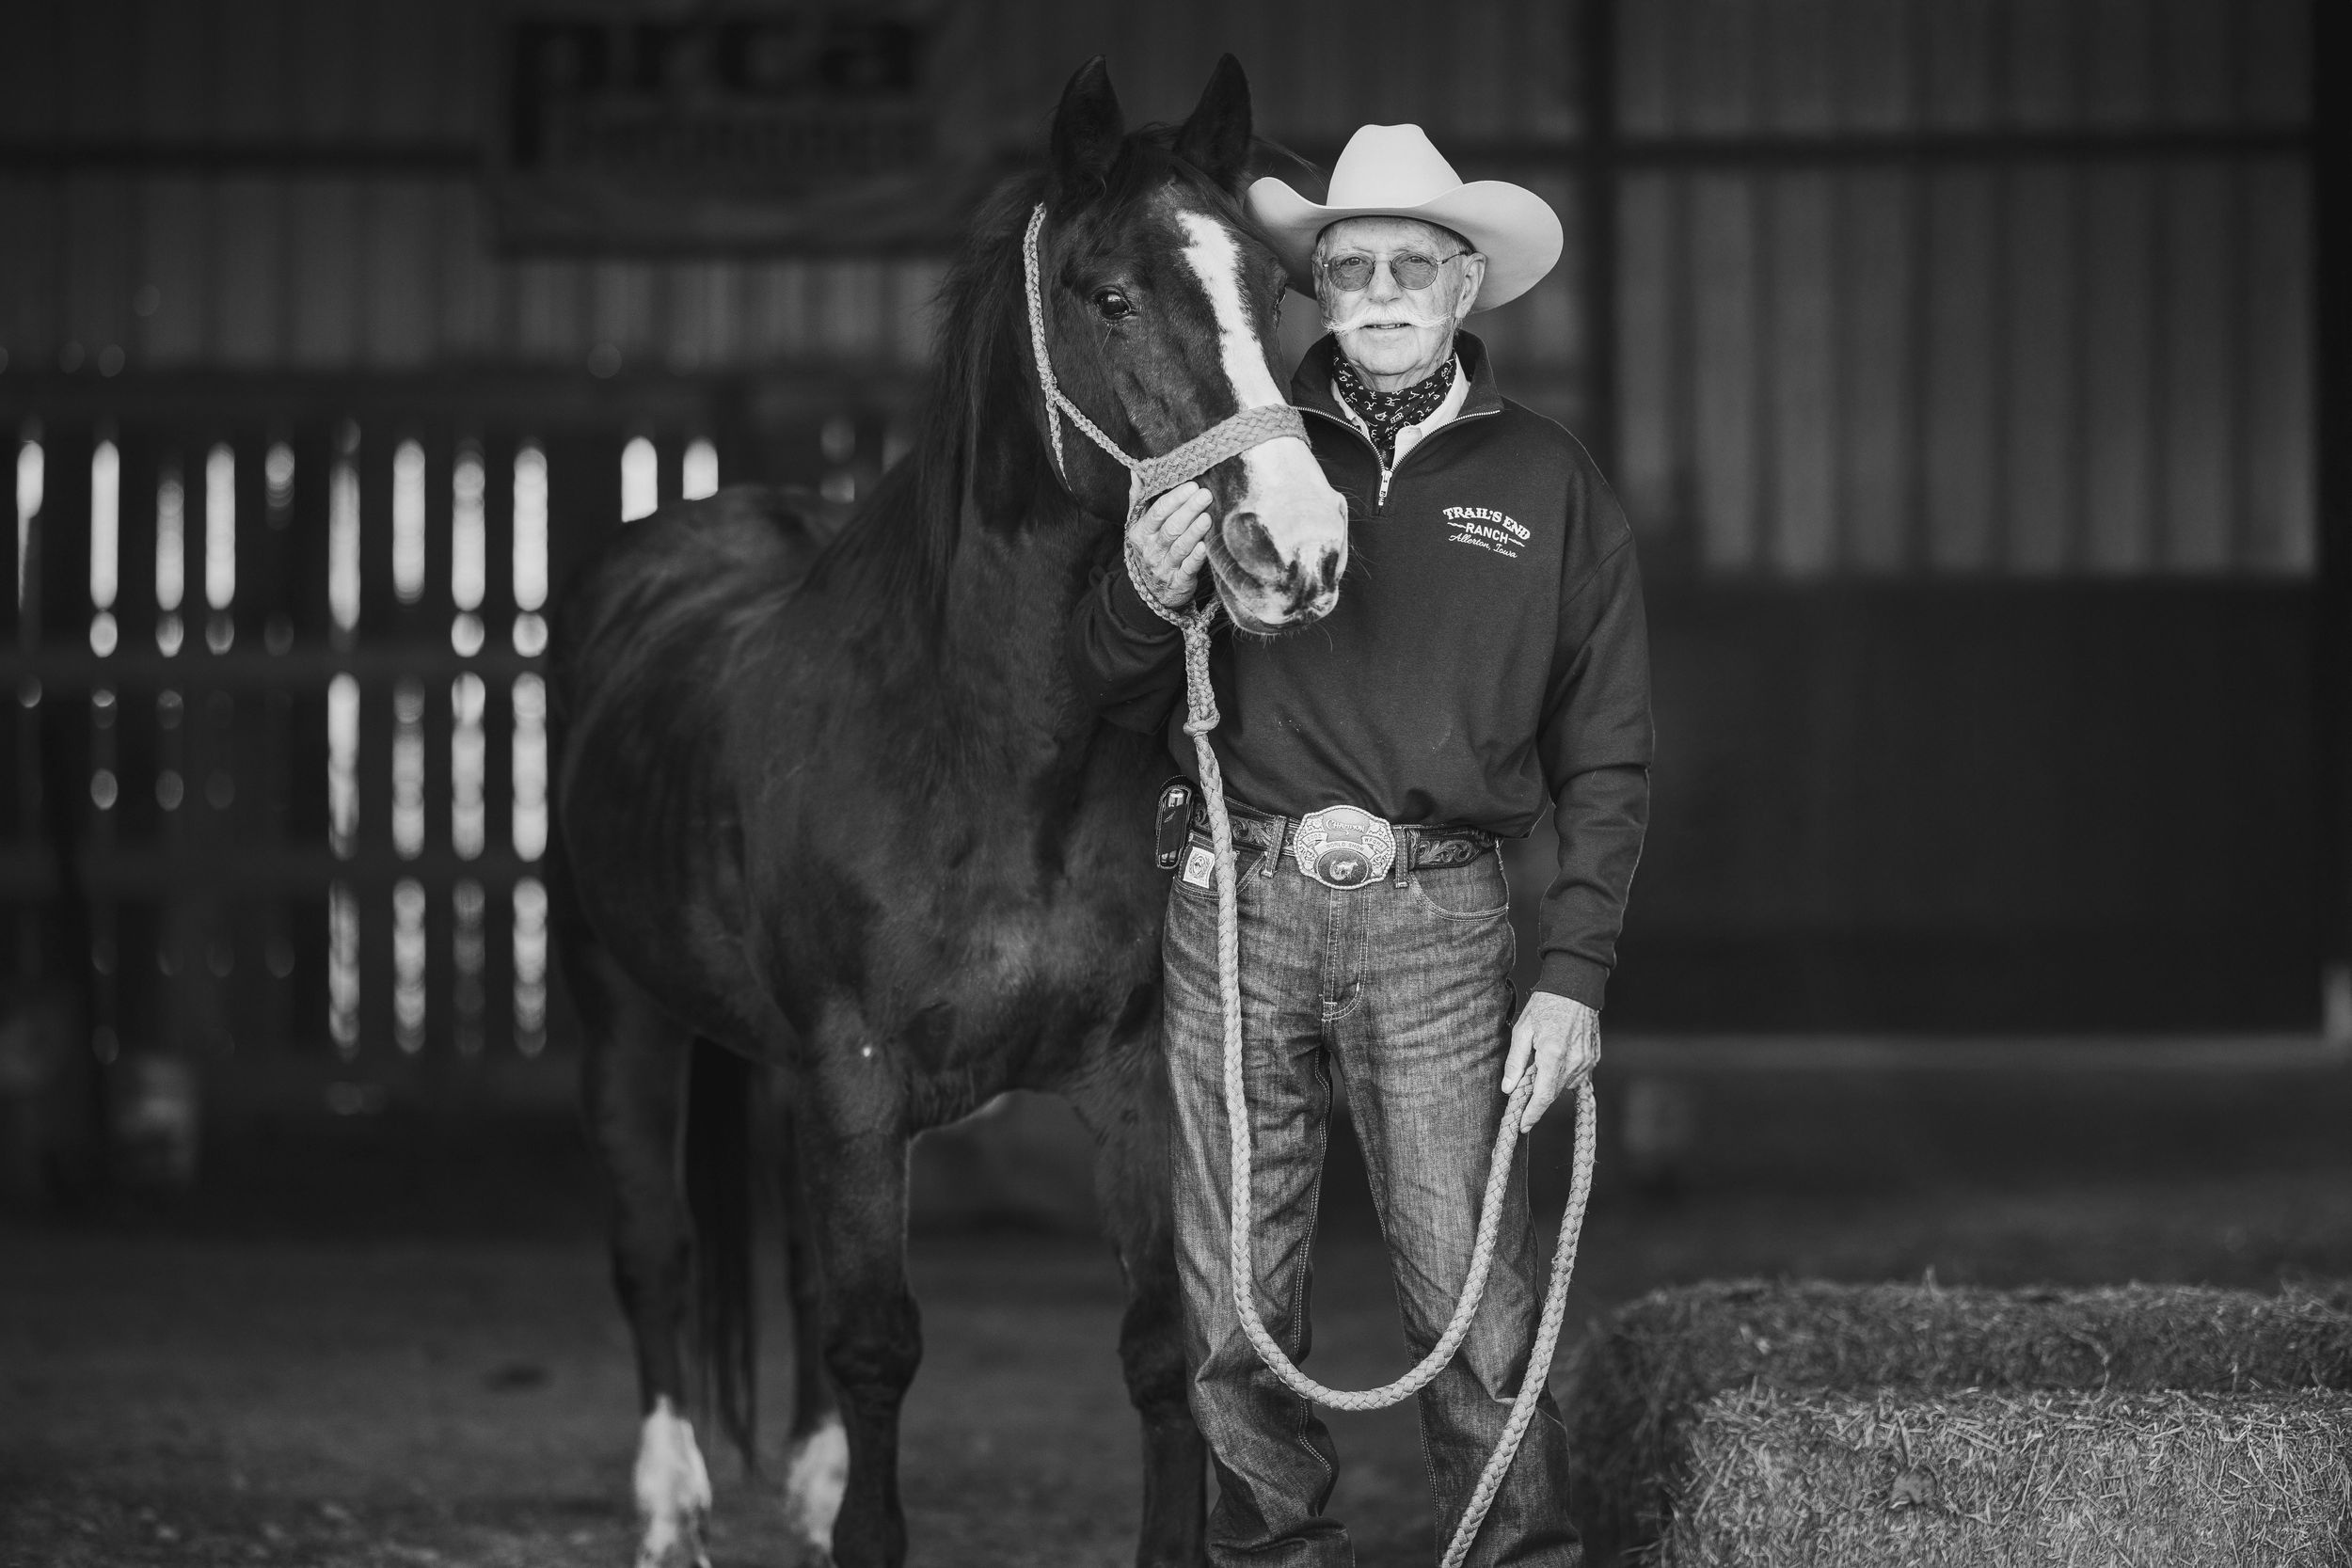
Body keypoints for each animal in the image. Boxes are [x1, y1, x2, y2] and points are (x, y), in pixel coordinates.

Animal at [549, 54, 1351, 1568]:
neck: (987, 754)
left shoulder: (1125, 1078)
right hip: (621, 1009)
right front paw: (851, 1519)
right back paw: (671, 1505)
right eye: (1109, 295)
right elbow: (877, 1345)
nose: (1297, 545)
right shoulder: (858, 1080)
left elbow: (1158, 1350)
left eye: (1273, 289)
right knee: (653, 1252)